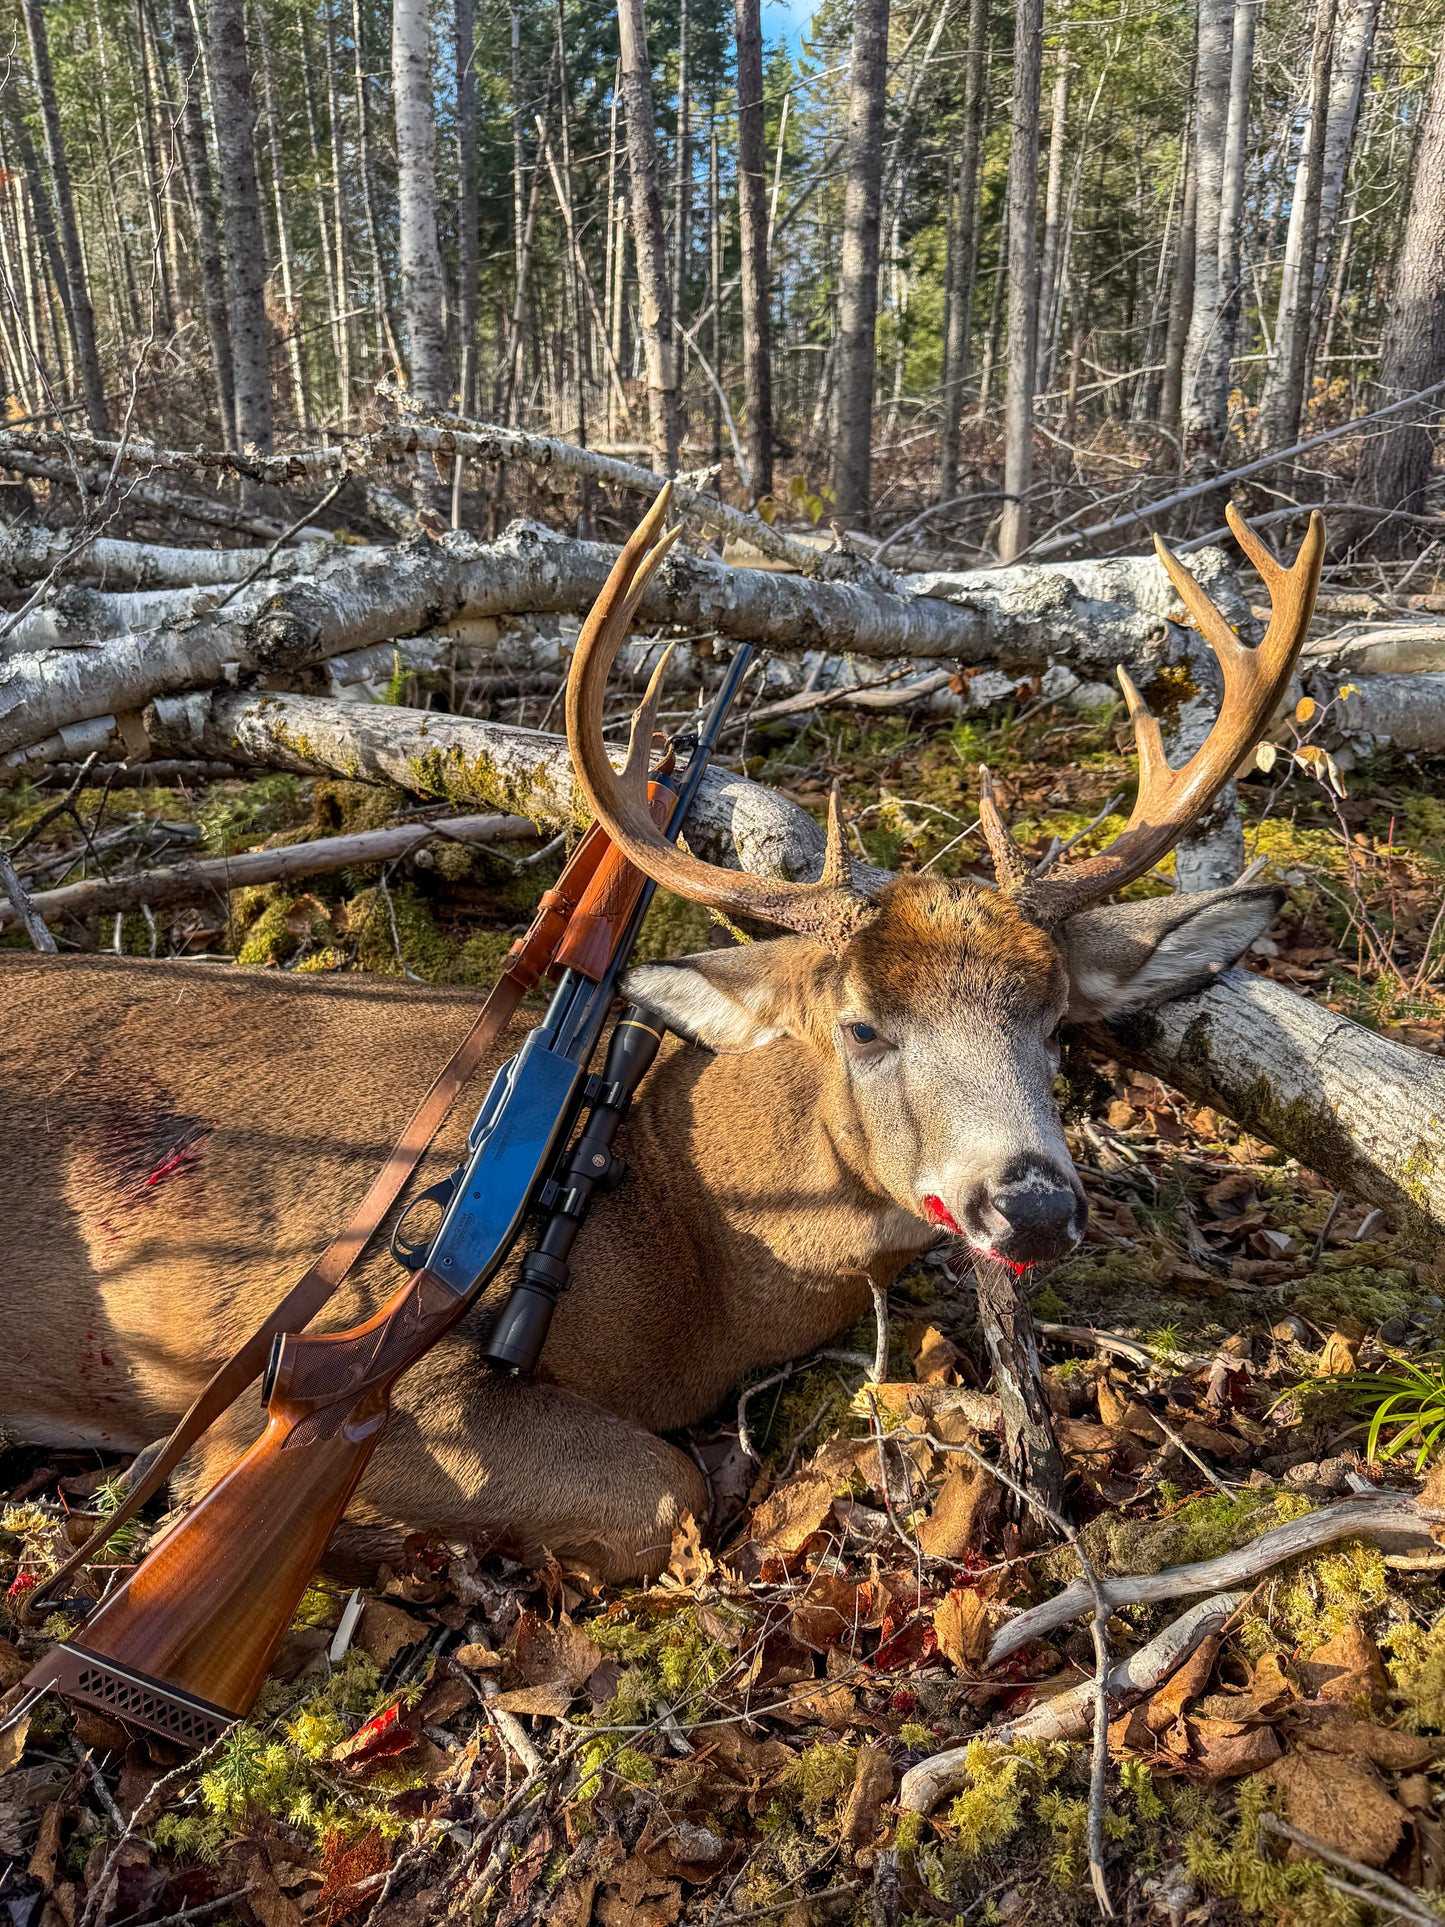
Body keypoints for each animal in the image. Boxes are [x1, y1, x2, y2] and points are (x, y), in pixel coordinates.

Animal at [0, 502, 1322, 1582]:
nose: (1034, 1205)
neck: (699, 1241)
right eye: (861, 1024)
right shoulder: (305, 1373)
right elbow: (665, 1486)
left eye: (1052, 1020)